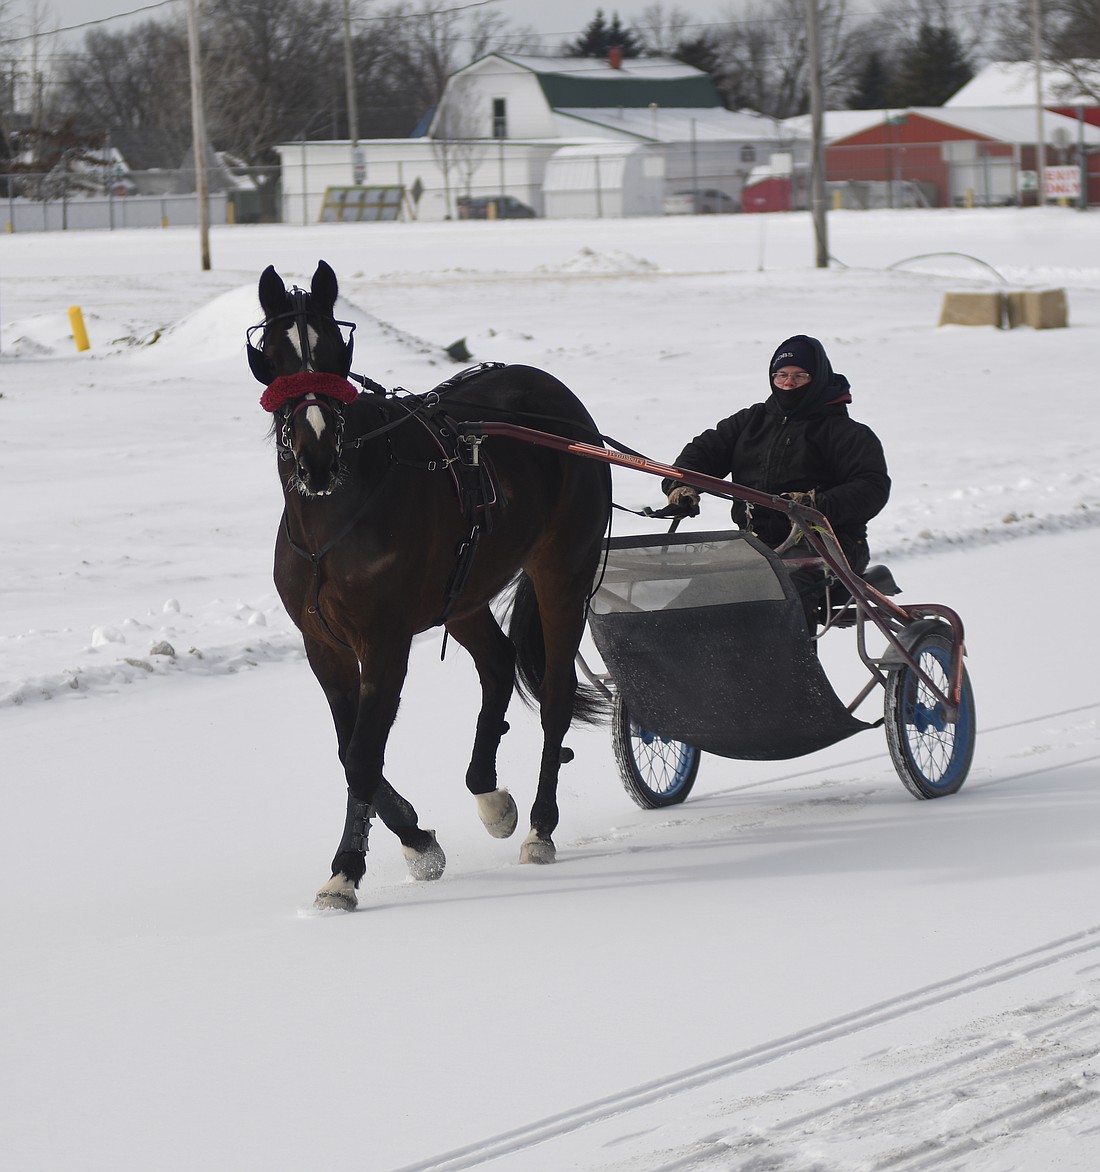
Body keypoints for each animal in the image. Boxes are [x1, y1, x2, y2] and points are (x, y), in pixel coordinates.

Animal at [249, 261, 609, 909]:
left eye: (333, 350)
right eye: (276, 355)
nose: (315, 454)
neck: (335, 511)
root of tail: (563, 406)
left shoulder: (384, 640)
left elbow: (363, 756)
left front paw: (353, 868)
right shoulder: (324, 646)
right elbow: (349, 750)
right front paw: (411, 842)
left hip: (562, 568)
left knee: (556, 696)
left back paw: (539, 827)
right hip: (463, 594)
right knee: (497, 663)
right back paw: (490, 796)